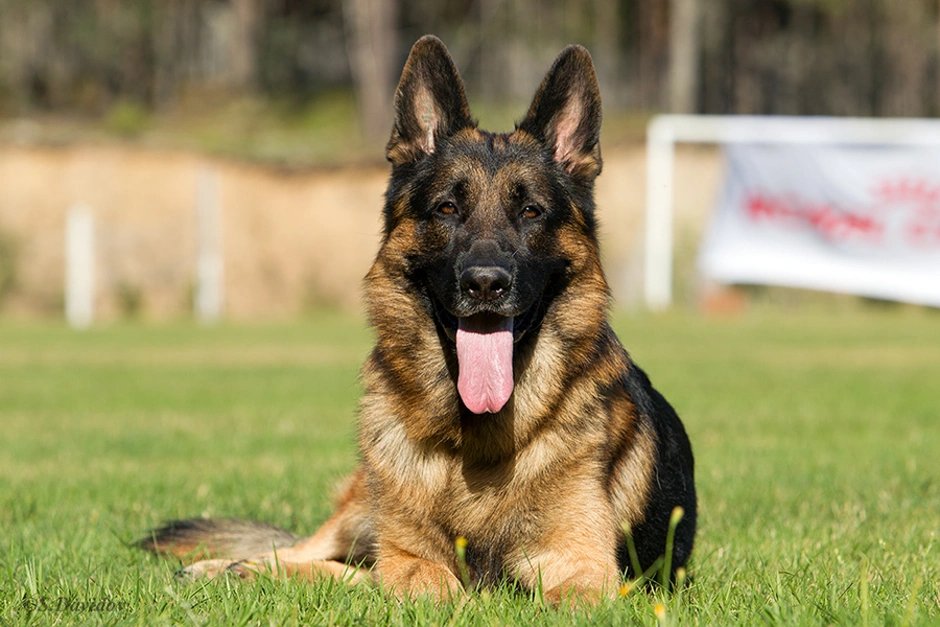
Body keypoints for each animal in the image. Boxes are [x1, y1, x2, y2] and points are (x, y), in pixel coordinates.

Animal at [140, 36, 696, 604]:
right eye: (447, 208)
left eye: (532, 212)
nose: (485, 284)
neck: (476, 438)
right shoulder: (408, 557)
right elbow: (431, 581)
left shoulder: (586, 568)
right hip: (363, 509)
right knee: (302, 554)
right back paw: (227, 567)